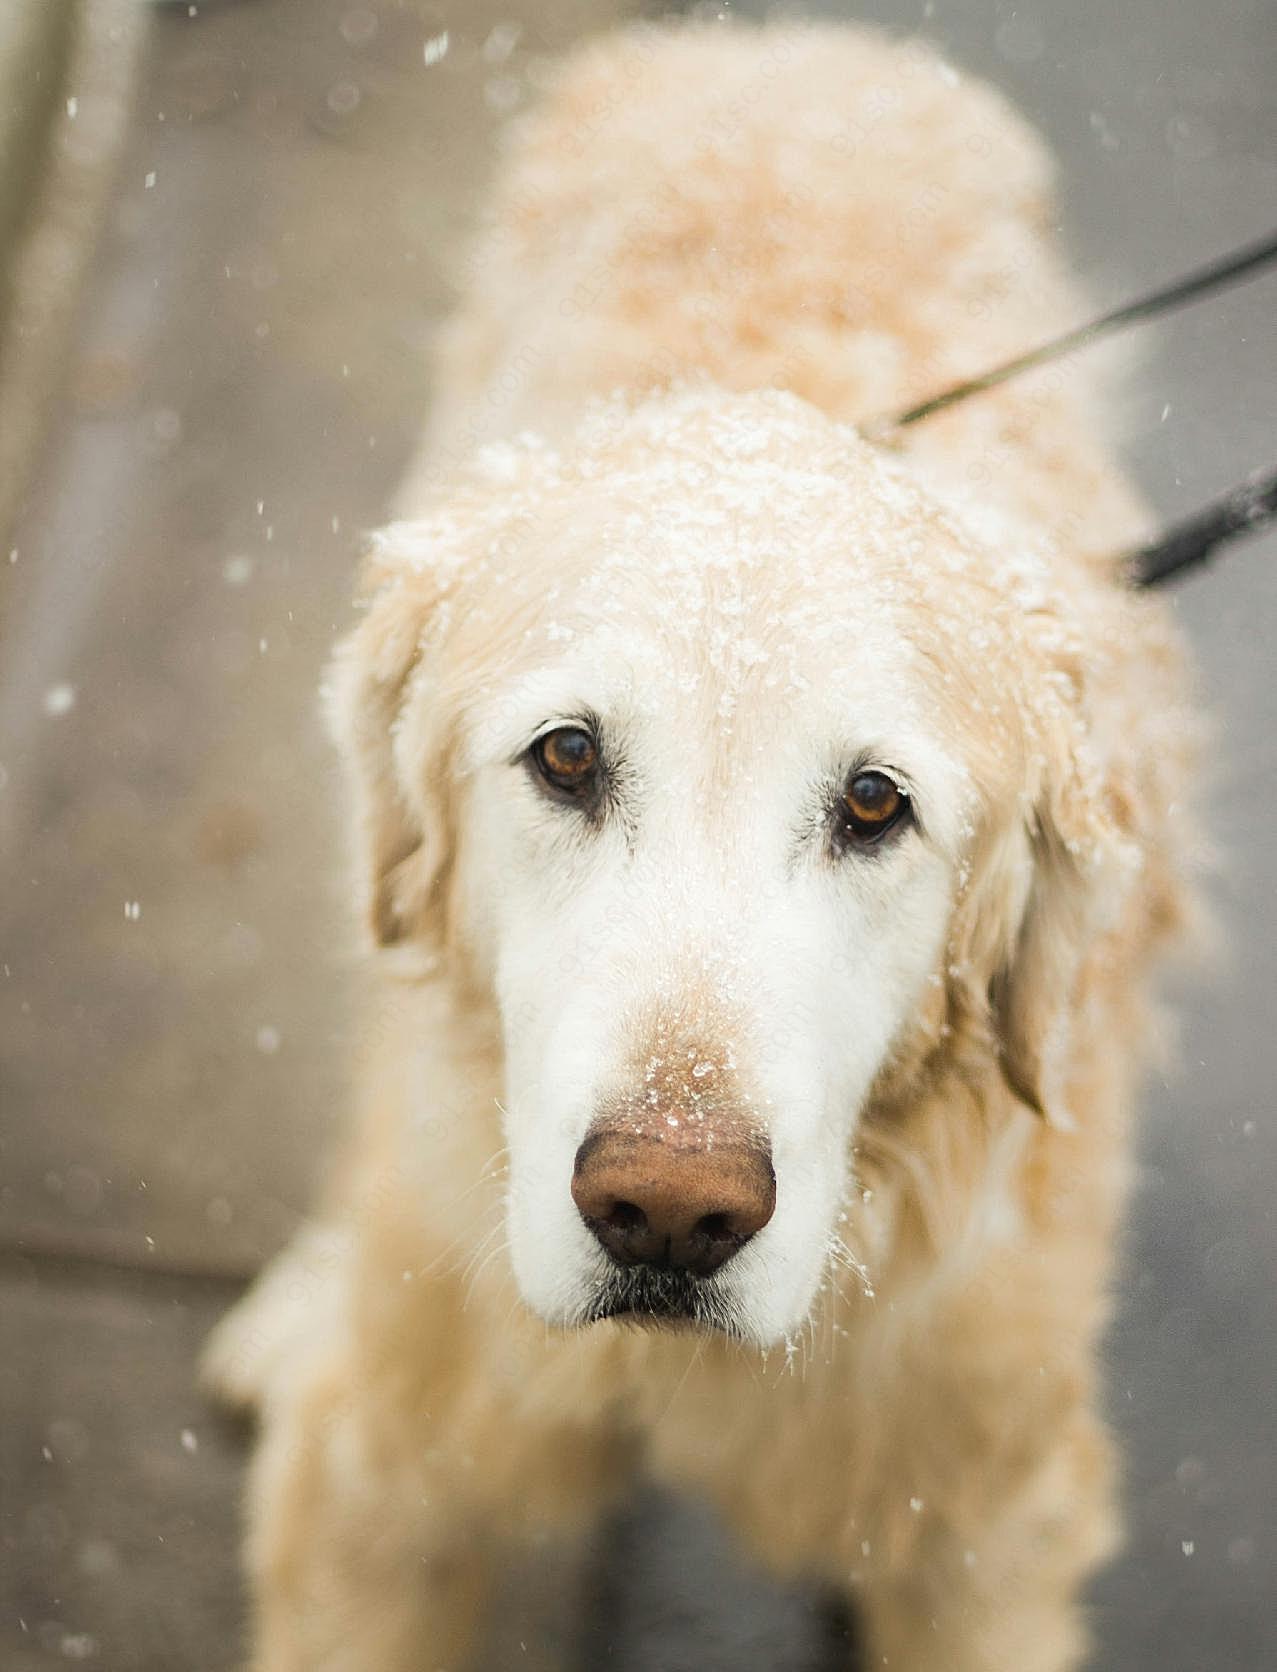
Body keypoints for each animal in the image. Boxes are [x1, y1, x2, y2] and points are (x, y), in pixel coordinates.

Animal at [204, 16, 1203, 1672]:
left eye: (874, 805)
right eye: (567, 756)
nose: (668, 1212)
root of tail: (791, 38)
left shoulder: (981, 1530)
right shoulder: (382, 1486)